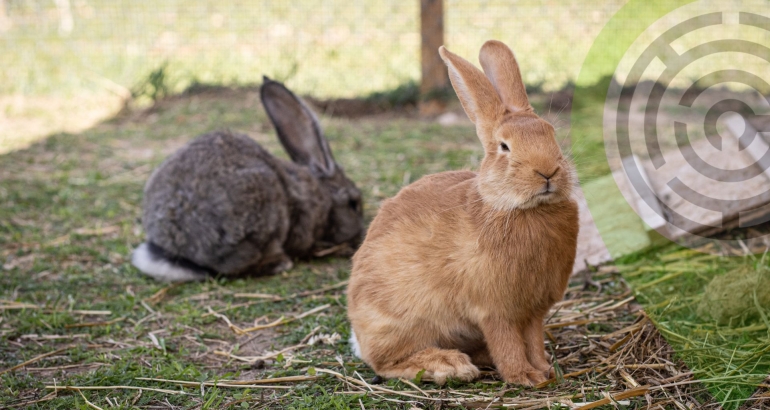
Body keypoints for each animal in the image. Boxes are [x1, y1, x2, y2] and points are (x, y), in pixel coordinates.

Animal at [346, 40, 579, 386]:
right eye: (504, 146)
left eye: (550, 133)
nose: (547, 171)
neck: (517, 208)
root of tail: (357, 333)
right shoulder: (494, 310)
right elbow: (508, 343)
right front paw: (523, 376)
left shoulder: (533, 312)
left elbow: (534, 340)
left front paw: (544, 371)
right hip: (401, 323)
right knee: (385, 362)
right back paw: (450, 365)